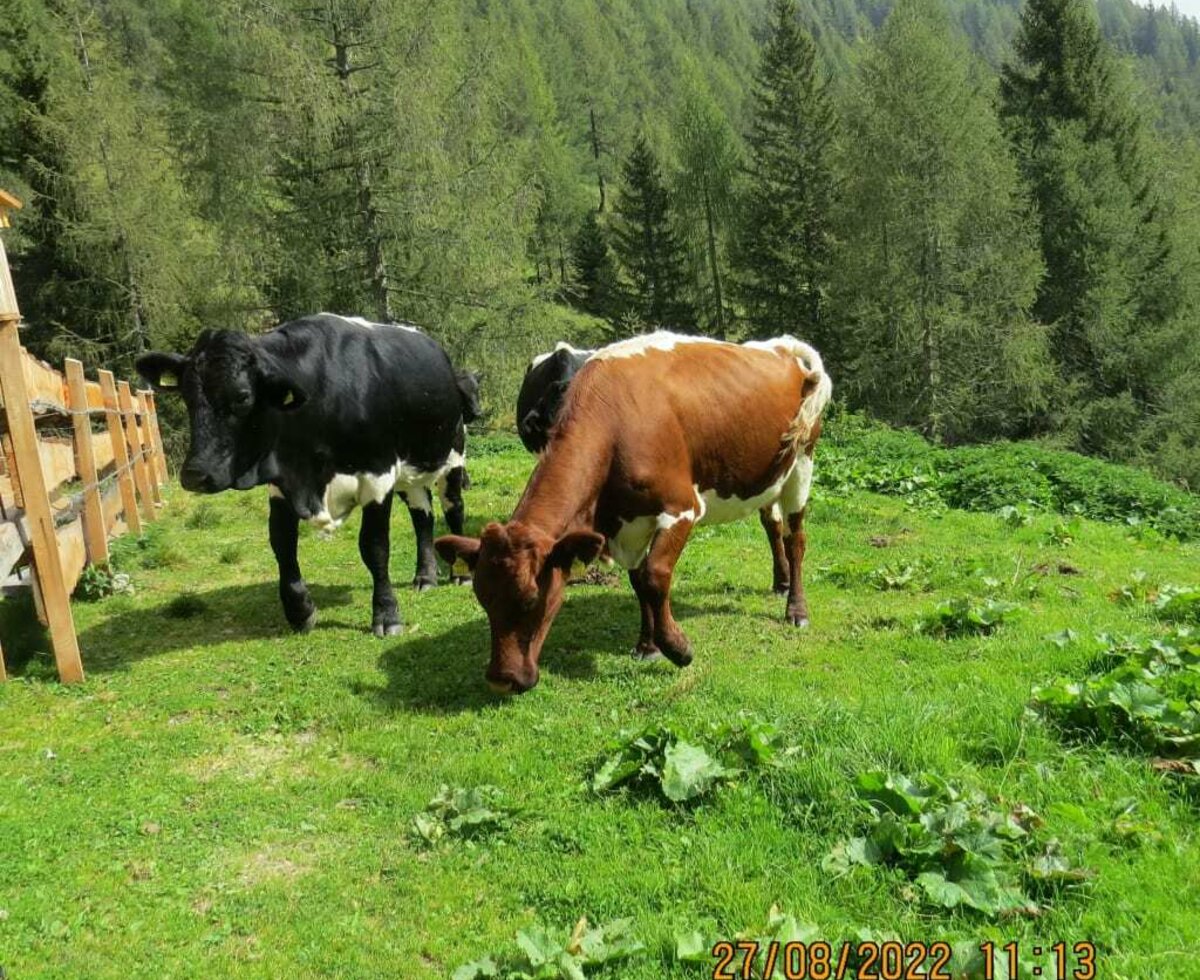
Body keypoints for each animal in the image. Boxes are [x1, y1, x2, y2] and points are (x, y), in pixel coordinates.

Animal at [136, 311, 477, 633]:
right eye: (186, 395)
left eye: (243, 396)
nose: (196, 474)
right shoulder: (283, 480)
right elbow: (282, 544)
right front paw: (300, 611)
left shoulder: (378, 476)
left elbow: (375, 547)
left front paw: (386, 614)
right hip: (410, 471)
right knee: (423, 516)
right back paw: (425, 576)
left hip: (452, 456)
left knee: (453, 508)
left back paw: (459, 573)